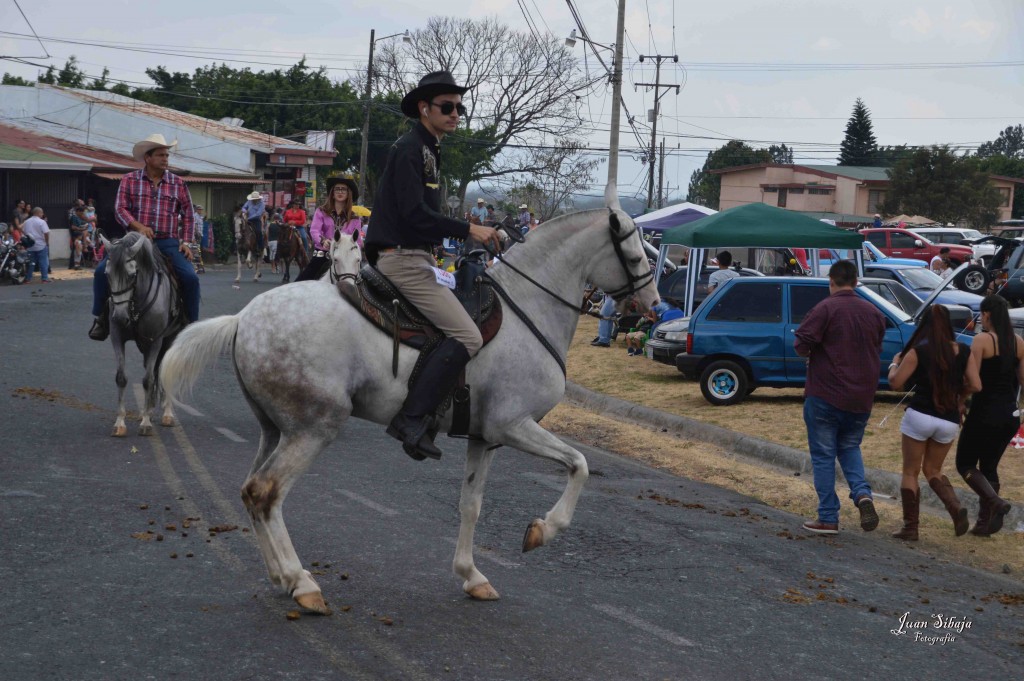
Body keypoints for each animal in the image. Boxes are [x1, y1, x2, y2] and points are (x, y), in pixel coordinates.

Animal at [99, 232, 182, 436]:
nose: (121, 317)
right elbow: (121, 377)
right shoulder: (117, 337)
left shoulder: (155, 340)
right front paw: (120, 422)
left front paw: (145, 423)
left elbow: (148, 379)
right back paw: (150, 409)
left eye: (132, 275)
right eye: (107, 275)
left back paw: (166, 413)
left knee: (163, 370)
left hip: (169, 339)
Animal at [159, 199, 655, 614]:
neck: (527, 309)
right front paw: (542, 530)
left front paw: (471, 575)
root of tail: (243, 318)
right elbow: (579, 465)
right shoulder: (513, 425)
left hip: (274, 429)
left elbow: (471, 504)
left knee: (250, 492)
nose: (651, 305)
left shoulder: (484, 437)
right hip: (313, 429)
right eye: (635, 254)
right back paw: (302, 583)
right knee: (267, 492)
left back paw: (281, 575)